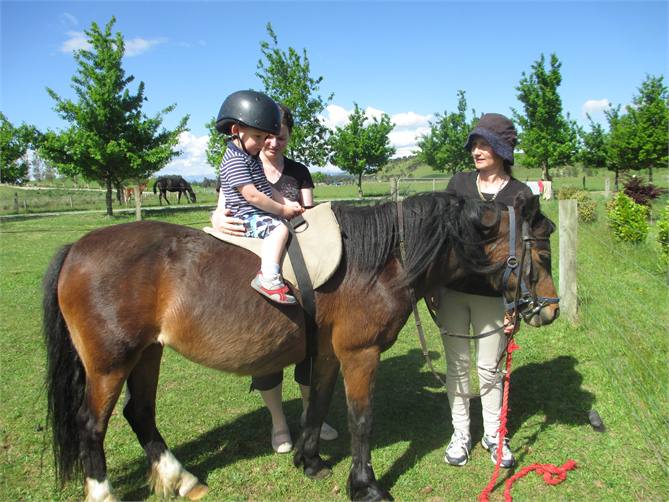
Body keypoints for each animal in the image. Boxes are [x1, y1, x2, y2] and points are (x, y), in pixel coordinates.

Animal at [42, 192, 559, 502]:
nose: (550, 310)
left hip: (148, 354)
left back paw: (182, 478)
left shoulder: (328, 354)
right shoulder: (359, 354)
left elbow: (319, 405)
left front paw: (309, 461)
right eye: (541, 251)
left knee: (140, 414)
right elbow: (361, 419)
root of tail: (76, 249)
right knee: (92, 425)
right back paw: (105, 492)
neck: (384, 258)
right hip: (110, 363)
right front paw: (365, 486)